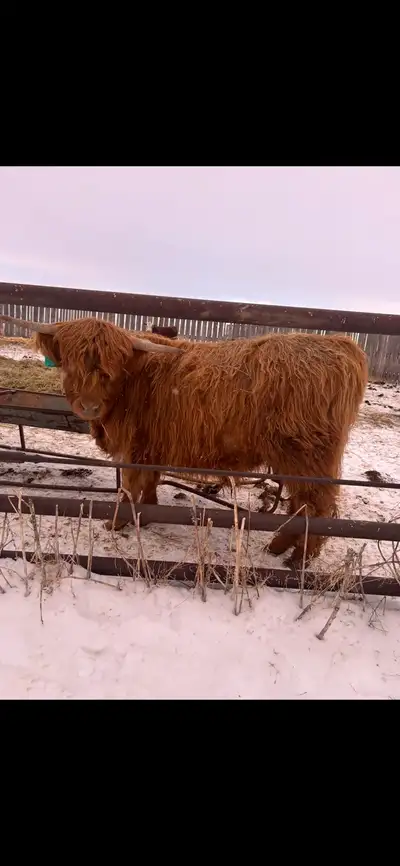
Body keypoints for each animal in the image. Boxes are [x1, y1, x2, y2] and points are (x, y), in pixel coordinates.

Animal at [0, 313, 368, 566]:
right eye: (71, 364)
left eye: (108, 370)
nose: (89, 406)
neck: (134, 380)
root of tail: (343, 346)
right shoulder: (150, 445)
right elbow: (149, 481)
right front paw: (148, 513)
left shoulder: (132, 446)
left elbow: (129, 486)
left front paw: (115, 522)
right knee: (301, 504)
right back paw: (279, 548)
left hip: (305, 455)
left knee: (316, 505)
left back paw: (297, 559)